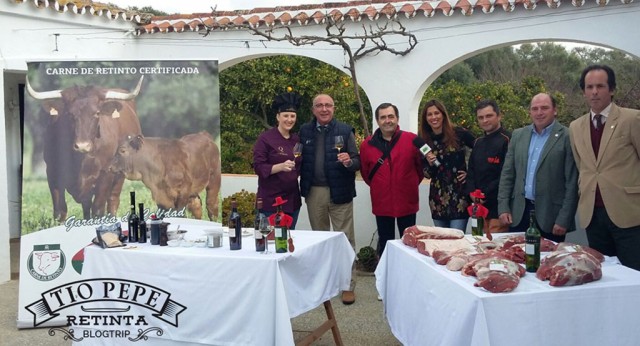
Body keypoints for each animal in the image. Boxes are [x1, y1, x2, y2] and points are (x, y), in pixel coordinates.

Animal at [26, 76, 144, 222]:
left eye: (97, 113)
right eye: (70, 113)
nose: (82, 146)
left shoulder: (106, 173)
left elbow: (98, 209)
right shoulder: (52, 171)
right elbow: (60, 211)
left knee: (113, 200)